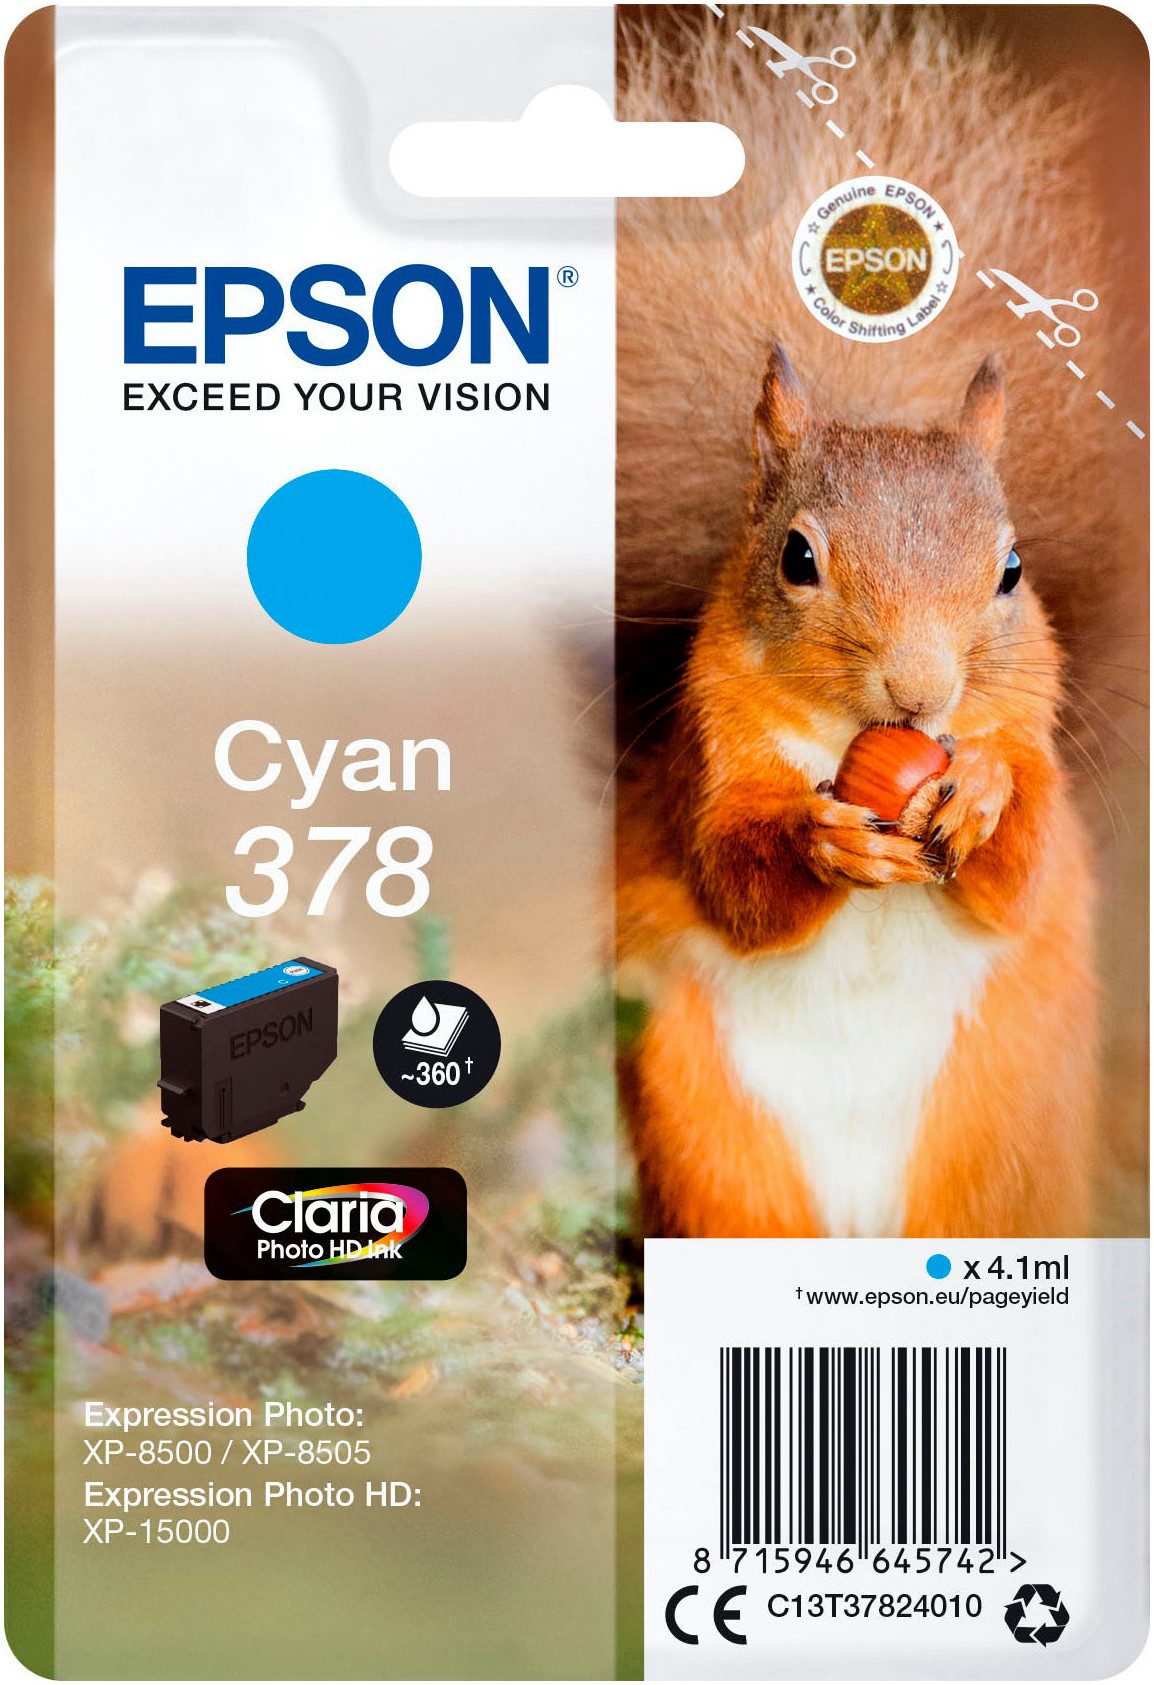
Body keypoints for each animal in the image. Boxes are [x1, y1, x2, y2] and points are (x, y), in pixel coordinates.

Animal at [612, 6, 1141, 1238]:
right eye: (796, 558)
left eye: (1010, 569)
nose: (921, 691)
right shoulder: (708, 759)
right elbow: (732, 875)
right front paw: (824, 839)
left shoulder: (1034, 746)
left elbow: (1022, 864)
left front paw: (981, 793)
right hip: (709, 1138)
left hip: (998, 1141)